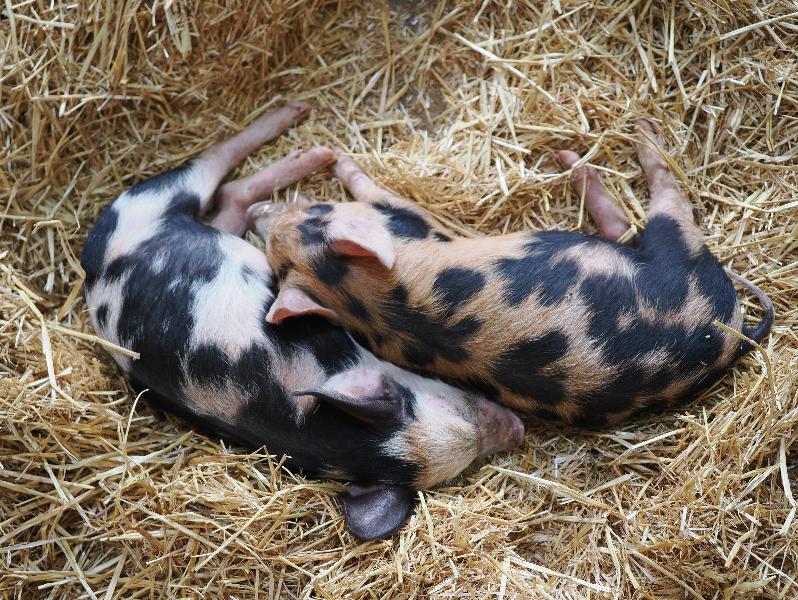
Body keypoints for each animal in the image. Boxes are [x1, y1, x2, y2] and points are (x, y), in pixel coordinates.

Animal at [80, 103, 524, 541]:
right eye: (457, 411)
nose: (517, 431)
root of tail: (90, 269)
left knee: (230, 201)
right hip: (147, 202)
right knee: (210, 170)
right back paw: (303, 131)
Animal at [257, 119, 774, 428]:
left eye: (315, 212)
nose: (264, 219)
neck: (363, 298)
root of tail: (726, 332)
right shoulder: (419, 221)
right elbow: (376, 189)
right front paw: (337, 158)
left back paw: (578, 161)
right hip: (675, 247)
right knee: (659, 200)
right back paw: (622, 141)